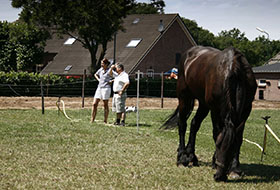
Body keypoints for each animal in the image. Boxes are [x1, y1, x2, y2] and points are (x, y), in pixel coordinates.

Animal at [163, 45, 258, 181]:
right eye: (218, 145)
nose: (219, 176)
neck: (234, 72)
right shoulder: (215, 109)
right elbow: (216, 133)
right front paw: (216, 162)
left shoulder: (246, 110)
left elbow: (239, 137)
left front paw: (235, 168)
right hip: (184, 97)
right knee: (182, 124)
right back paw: (182, 158)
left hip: (203, 104)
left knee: (194, 124)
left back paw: (191, 156)